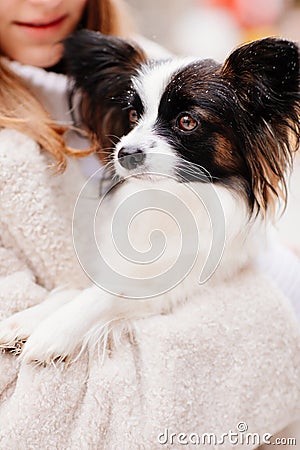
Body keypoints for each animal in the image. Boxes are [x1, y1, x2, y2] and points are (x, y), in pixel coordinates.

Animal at [0, 29, 298, 364]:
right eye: (132, 115)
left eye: (187, 121)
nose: (124, 152)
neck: (172, 194)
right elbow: (83, 288)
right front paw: (27, 319)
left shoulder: (169, 289)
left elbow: (103, 295)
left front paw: (54, 331)